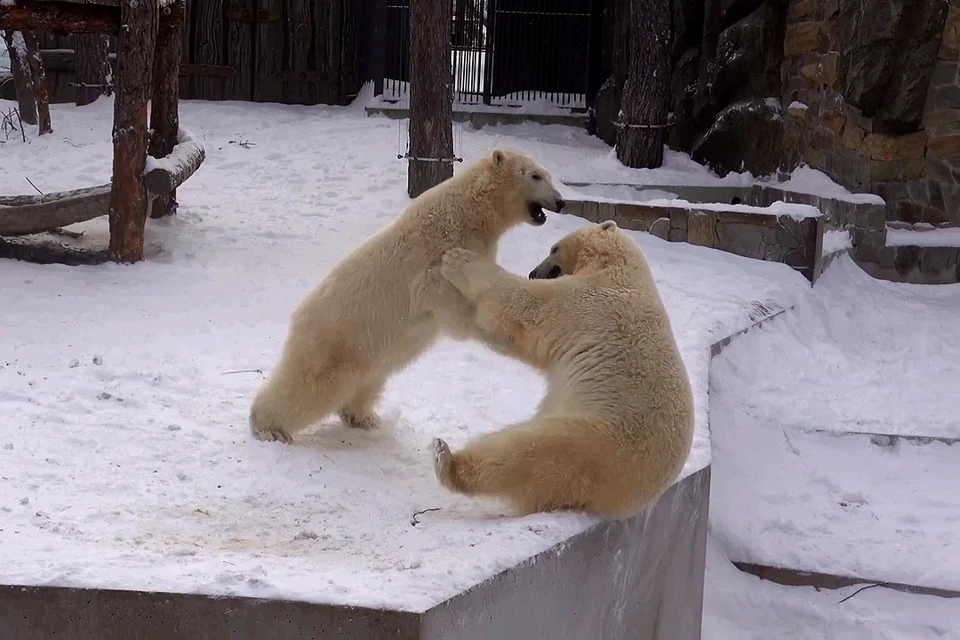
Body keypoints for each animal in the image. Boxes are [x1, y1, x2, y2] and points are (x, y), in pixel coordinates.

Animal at [251, 148, 568, 442]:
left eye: (548, 175)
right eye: (535, 175)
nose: (561, 202)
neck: (468, 212)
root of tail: (299, 317)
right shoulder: (436, 258)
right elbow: (447, 298)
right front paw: (498, 335)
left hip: (368, 351)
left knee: (368, 382)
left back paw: (364, 417)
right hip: (337, 341)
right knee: (311, 385)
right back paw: (269, 428)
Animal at [432, 220, 692, 520]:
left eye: (553, 248)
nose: (534, 272)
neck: (620, 268)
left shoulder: (589, 302)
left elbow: (523, 305)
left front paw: (457, 259)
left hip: (594, 439)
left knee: (525, 452)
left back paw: (447, 462)